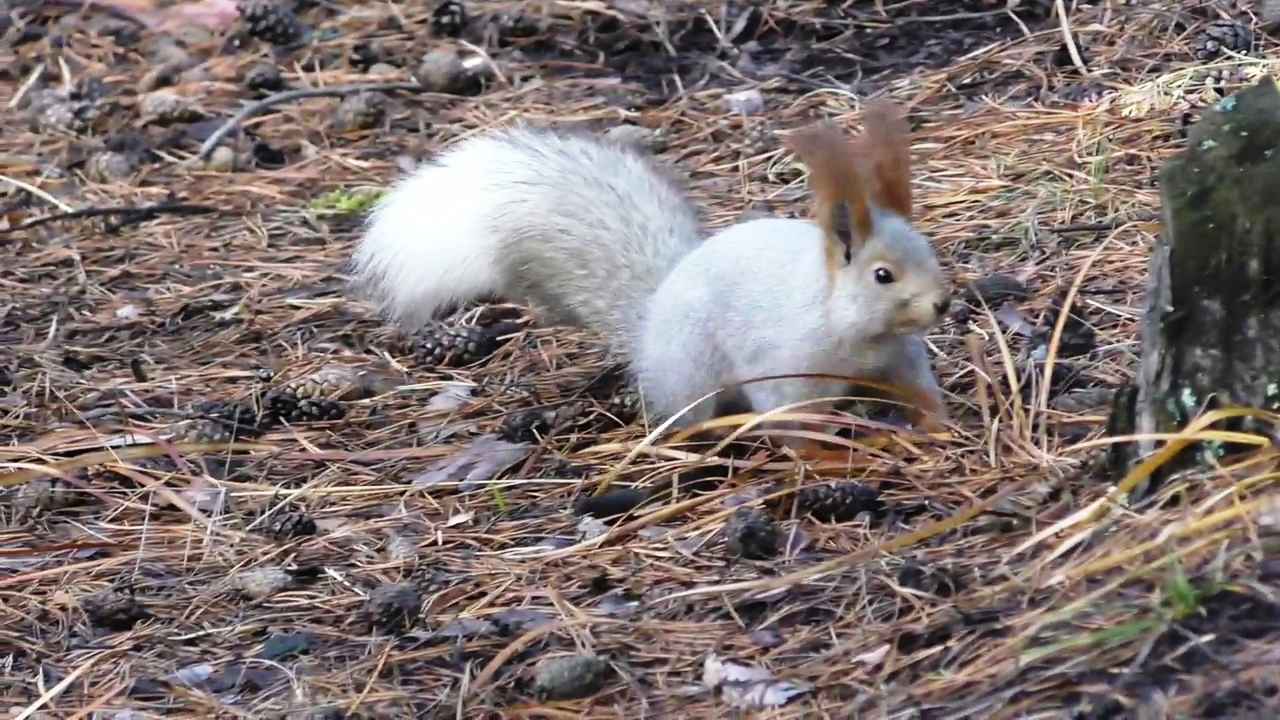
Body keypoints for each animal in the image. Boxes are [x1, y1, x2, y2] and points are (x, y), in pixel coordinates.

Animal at [350, 97, 952, 435]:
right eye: (882, 275)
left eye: (929, 250)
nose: (943, 302)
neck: (857, 333)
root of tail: (650, 318)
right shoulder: (782, 363)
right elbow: (785, 413)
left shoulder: (899, 358)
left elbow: (920, 390)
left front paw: (938, 426)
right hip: (691, 372)